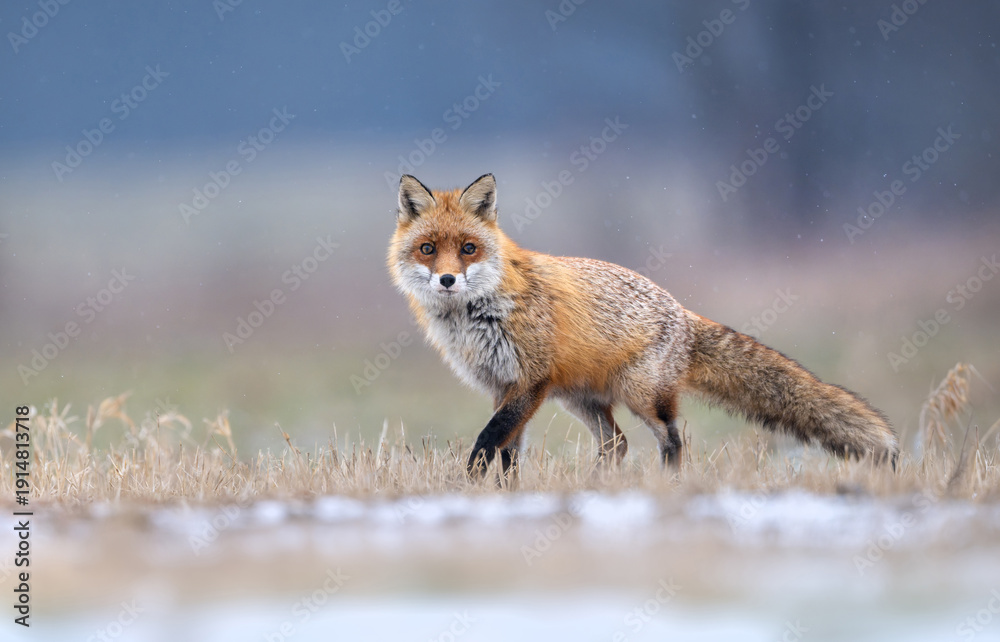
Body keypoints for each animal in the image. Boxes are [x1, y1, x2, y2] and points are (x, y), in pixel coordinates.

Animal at [387, 173, 899, 480]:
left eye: (468, 248)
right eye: (428, 249)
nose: (448, 279)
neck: (477, 314)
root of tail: (684, 313)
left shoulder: (529, 381)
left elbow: (488, 441)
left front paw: (468, 483)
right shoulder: (503, 385)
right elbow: (508, 452)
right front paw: (503, 493)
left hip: (640, 394)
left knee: (670, 438)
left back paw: (668, 484)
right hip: (581, 399)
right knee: (617, 444)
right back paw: (596, 485)